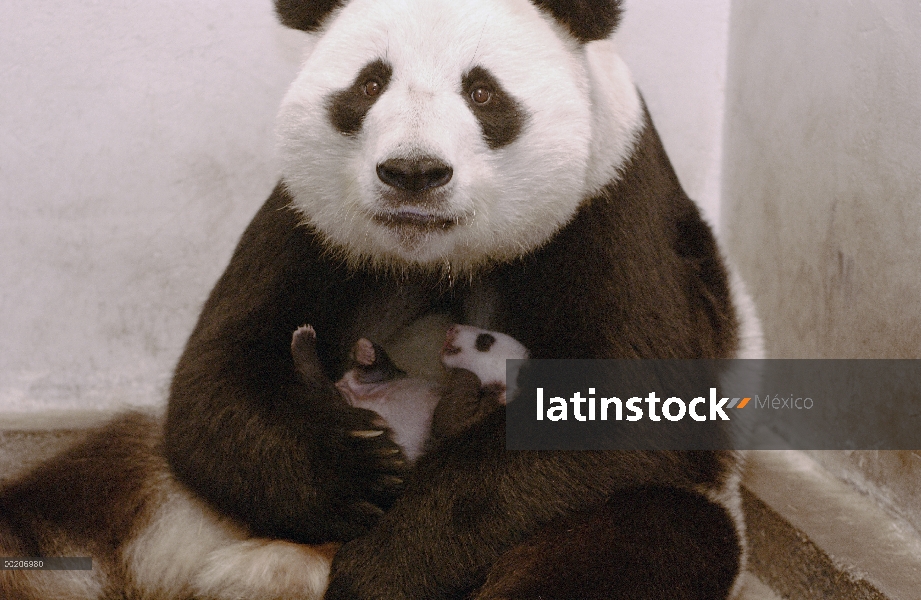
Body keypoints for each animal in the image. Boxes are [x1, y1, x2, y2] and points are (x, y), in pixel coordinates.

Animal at [162, 1, 764, 600]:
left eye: (482, 92)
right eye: (370, 83)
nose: (413, 173)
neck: (439, 254)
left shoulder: (612, 205)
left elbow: (619, 412)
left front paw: (384, 571)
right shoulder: (313, 226)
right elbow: (215, 381)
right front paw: (356, 474)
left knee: (655, 535)